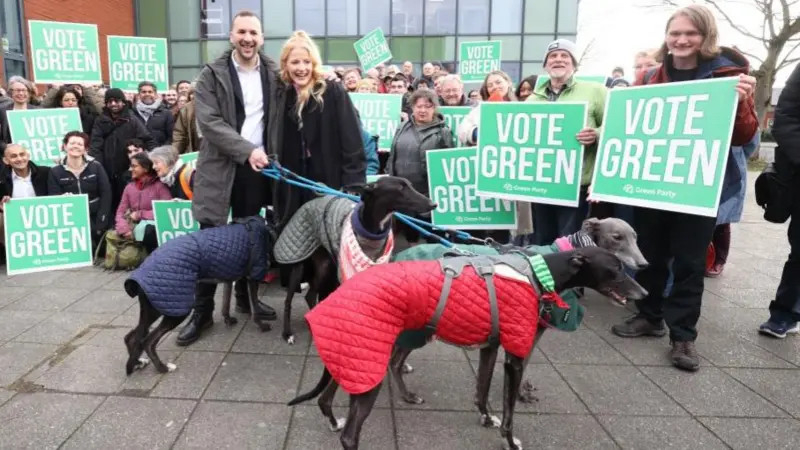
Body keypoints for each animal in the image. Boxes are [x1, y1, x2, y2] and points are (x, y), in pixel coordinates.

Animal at [123, 216, 272, 375]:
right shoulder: (253, 276)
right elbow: (255, 309)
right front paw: (262, 326)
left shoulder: (228, 277)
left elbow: (225, 304)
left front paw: (229, 320)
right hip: (176, 309)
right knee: (148, 341)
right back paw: (163, 368)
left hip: (157, 306)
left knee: (132, 337)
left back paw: (138, 363)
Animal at [273, 176, 436, 344]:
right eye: (400, 188)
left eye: (409, 184)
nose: (433, 204)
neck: (371, 232)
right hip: (300, 261)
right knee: (288, 300)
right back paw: (287, 333)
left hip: (326, 266)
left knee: (310, 295)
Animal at [288, 247, 647, 450]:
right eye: (615, 268)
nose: (643, 293)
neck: (537, 274)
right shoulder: (515, 357)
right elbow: (510, 412)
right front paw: (510, 441)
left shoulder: (491, 347)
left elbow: (482, 389)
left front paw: (487, 418)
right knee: (350, 434)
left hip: (358, 354)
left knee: (326, 398)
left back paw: (335, 419)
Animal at [390, 217, 649, 404]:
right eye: (617, 237)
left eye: (636, 236)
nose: (644, 291)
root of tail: (397, 256)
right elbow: (521, 366)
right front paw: (519, 396)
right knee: (395, 357)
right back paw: (406, 393)